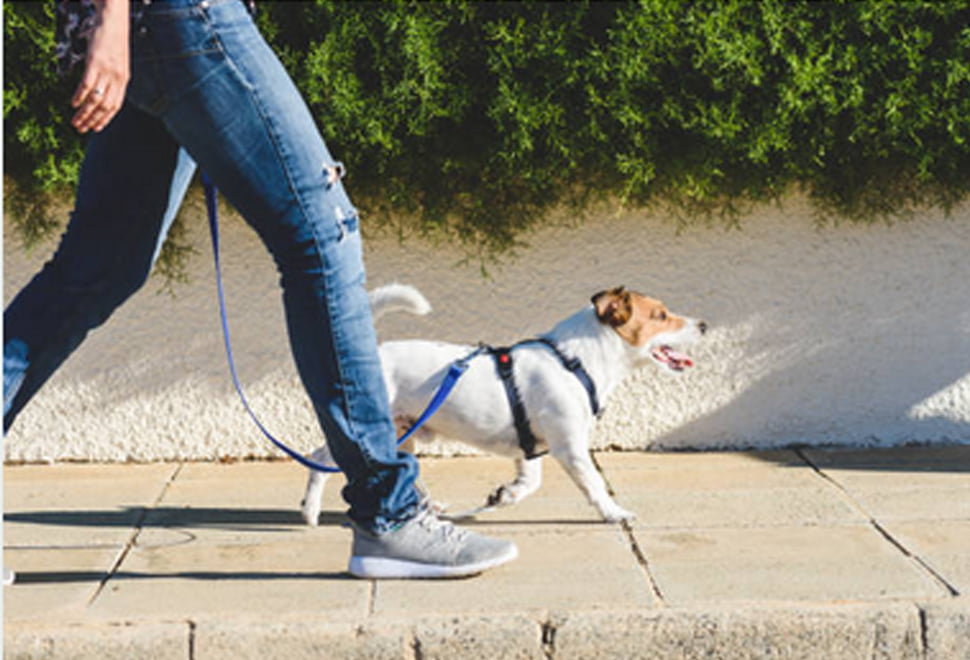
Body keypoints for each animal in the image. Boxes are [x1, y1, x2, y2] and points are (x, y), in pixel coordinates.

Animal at [298, 284, 708, 524]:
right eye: (660, 316)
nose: (704, 325)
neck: (575, 361)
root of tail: (374, 355)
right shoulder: (570, 447)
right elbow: (593, 483)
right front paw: (614, 512)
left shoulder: (531, 447)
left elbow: (530, 481)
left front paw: (506, 495)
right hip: (367, 431)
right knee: (319, 460)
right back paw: (311, 511)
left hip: (403, 433)